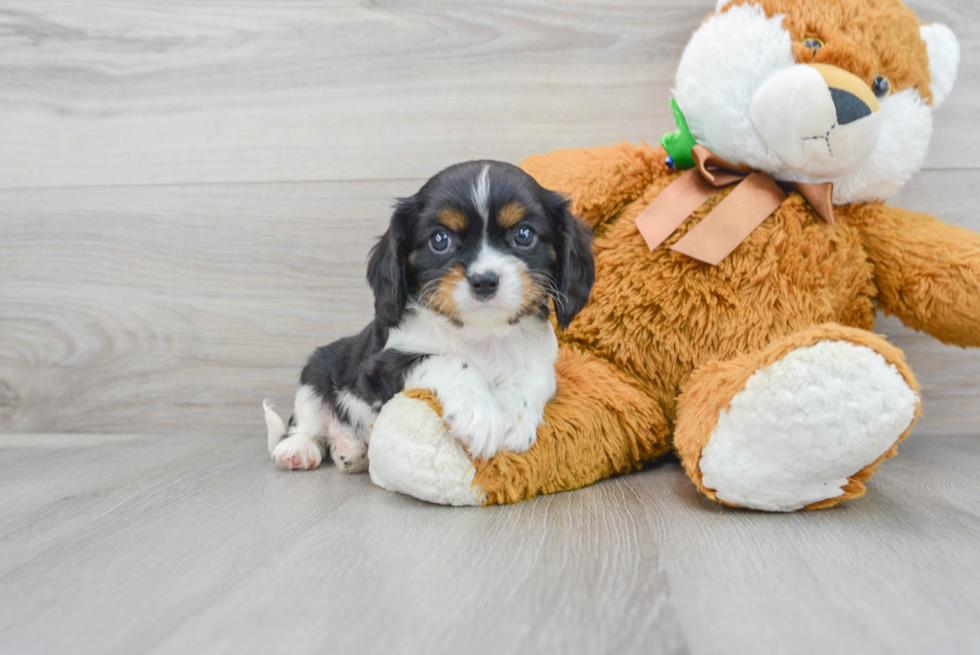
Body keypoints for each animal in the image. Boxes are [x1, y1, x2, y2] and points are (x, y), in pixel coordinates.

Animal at [264, 161, 592, 474]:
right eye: (439, 240)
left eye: (524, 235)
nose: (484, 280)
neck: (482, 333)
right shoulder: (379, 368)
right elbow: (452, 361)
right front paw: (480, 415)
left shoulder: (542, 358)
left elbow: (537, 376)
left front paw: (514, 417)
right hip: (314, 376)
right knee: (305, 425)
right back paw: (298, 450)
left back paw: (352, 451)